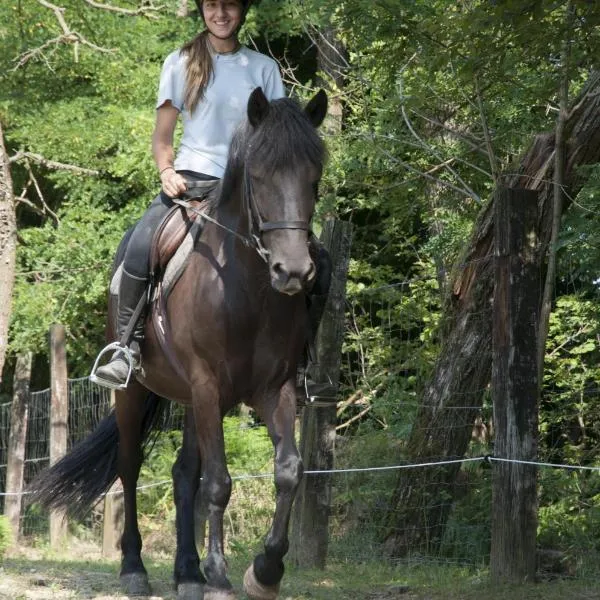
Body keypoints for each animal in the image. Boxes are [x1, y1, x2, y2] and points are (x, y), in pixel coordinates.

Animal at [27, 88, 328, 600]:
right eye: (259, 176)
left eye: (314, 177)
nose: (292, 272)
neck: (245, 290)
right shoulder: (209, 386)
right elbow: (220, 482)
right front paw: (221, 576)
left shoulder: (274, 389)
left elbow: (287, 471)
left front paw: (264, 570)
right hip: (136, 391)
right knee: (130, 467)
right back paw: (135, 568)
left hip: (191, 400)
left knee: (183, 474)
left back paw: (187, 572)